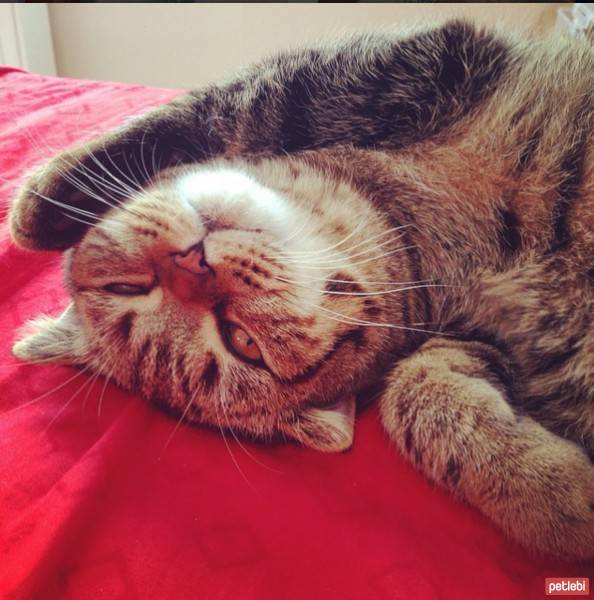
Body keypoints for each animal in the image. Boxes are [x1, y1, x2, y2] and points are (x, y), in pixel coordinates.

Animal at [6, 19, 592, 564]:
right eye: (244, 343)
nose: (190, 265)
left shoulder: (411, 62)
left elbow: (231, 105)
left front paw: (40, 203)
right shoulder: (477, 338)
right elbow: (414, 392)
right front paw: (551, 491)